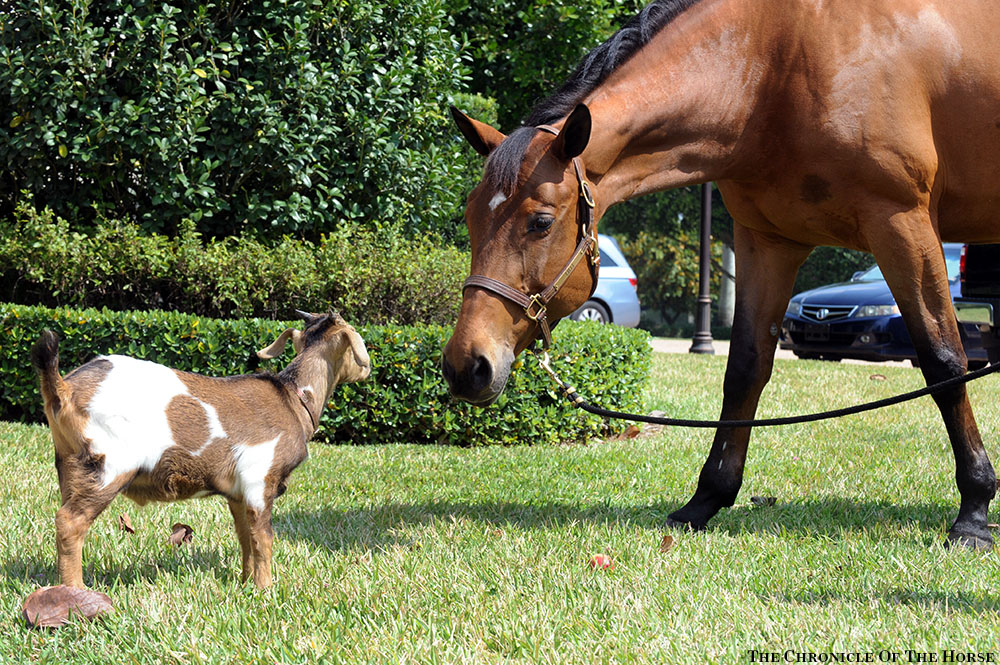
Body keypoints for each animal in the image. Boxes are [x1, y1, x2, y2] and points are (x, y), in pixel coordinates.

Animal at [30, 312, 372, 588]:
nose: (367, 370)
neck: (292, 396)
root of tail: (63, 388)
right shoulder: (260, 479)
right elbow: (264, 539)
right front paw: (265, 589)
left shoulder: (237, 493)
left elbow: (245, 537)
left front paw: (246, 583)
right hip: (107, 466)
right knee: (70, 522)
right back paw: (76, 592)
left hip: (69, 467)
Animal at [444, 0, 1000, 548]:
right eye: (468, 216)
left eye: (540, 222)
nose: (465, 366)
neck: (780, 62)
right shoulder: (766, 242)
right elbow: (745, 370)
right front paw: (706, 499)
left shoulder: (902, 224)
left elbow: (945, 363)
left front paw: (974, 510)